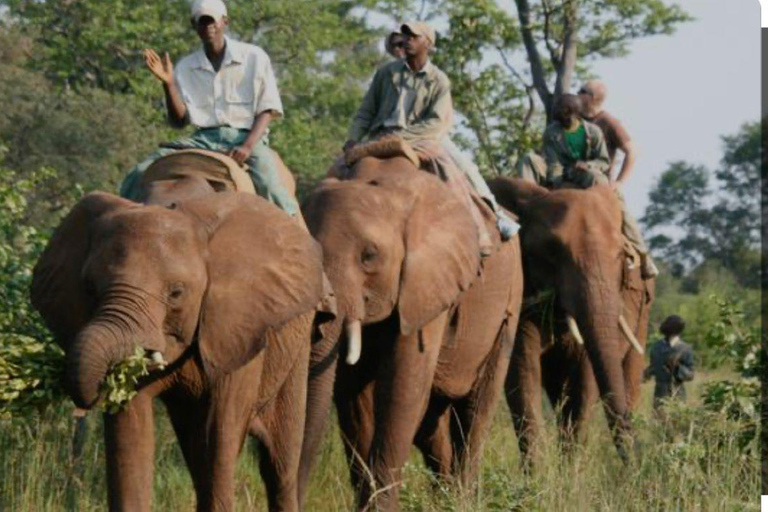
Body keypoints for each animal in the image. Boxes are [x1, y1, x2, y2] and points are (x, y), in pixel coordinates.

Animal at [31, 153, 328, 512]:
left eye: (176, 293)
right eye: (89, 288)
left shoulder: (238, 323)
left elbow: (221, 430)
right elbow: (130, 433)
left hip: (296, 343)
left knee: (278, 462)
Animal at [296, 157, 524, 512]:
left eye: (369, 256)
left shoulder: (426, 279)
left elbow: (402, 387)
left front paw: (380, 508)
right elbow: (352, 392)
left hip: (510, 302)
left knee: (475, 413)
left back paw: (461, 500)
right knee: (432, 424)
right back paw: (444, 500)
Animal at [488, 178, 656, 466]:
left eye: (621, 257)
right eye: (552, 250)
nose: (638, 468)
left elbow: (584, 382)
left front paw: (569, 472)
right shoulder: (523, 290)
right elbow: (522, 372)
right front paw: (538, 475)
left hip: (643, 316)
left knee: (630, 378)